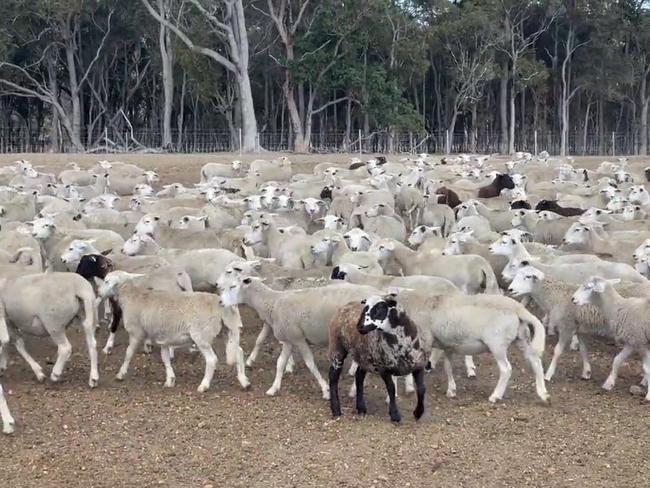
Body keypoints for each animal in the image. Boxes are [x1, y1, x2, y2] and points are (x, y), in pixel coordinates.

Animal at [98, 270, 248, 392]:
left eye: (106, 281)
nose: (98, 293)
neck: (132, 296)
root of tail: (224, 305)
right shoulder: (163, 338)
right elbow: (165, 359)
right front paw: (170, 379)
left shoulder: (136, 332)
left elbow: (128, 353)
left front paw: (120, 374)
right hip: (227, 331)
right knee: (239, 352)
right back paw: (244, 381)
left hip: (201, 335)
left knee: (212, 359)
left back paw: (204, 385)